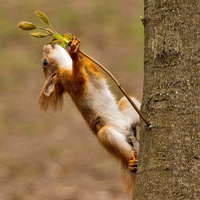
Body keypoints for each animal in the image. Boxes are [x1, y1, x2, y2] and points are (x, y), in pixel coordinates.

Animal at [38, 35, 141, 192]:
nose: (46, 45)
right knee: (123, 151)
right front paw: (74, 52)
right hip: (106, 135)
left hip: (128, 106)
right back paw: (131, 161)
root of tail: (128, 133)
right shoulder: (71, 83)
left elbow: (94, 69)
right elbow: (79, 80)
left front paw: (75, 44)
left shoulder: (94, 74)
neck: (66, 67)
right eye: (45, 62)